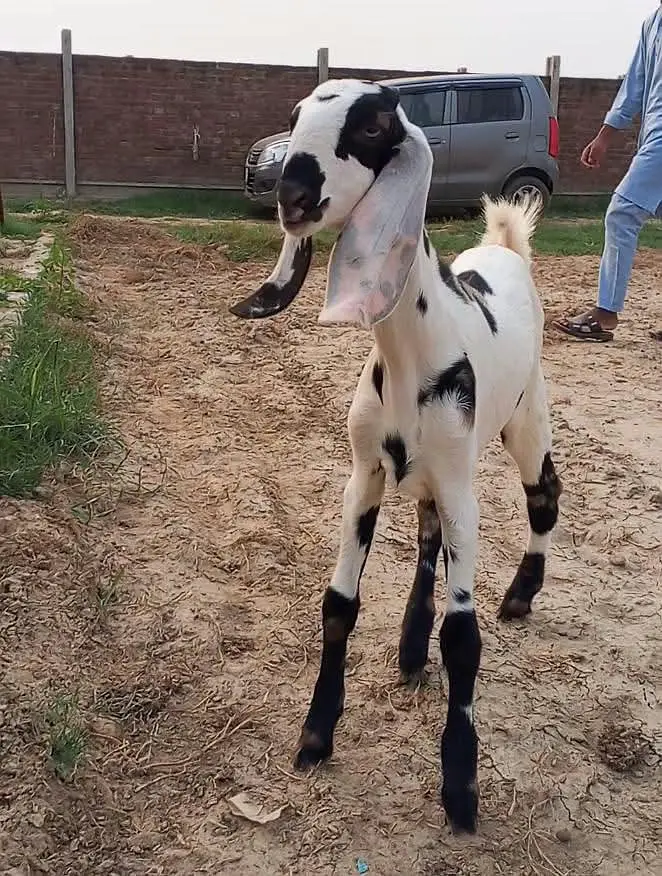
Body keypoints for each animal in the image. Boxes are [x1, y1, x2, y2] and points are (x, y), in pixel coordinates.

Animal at [229, 79, 562, 835]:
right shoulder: (367, 473)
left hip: (526, 419)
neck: (416, 347)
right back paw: (411, 647)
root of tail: (505, 249)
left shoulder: (465, 488)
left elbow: (464, 637)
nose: (290, 191)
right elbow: (338, 604)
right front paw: (316, 735)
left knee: (544, 495)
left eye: (375, 124)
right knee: (427, 531)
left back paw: (520, 596)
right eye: (296, 116)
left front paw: (461, 788)